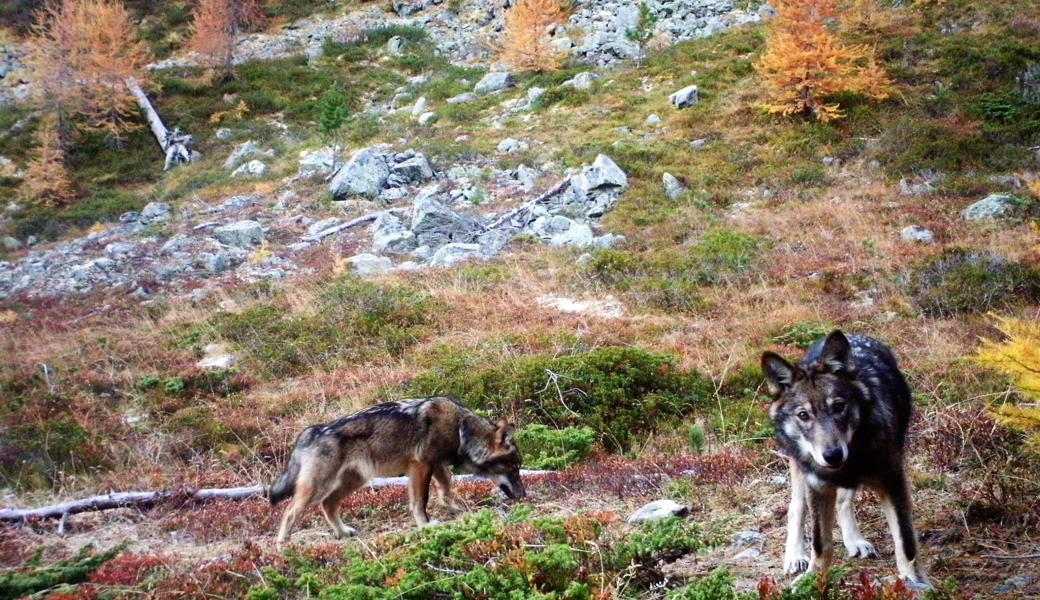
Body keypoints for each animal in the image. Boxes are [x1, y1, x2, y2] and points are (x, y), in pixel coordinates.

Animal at [270, 395, 528, 544]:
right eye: (514, 467)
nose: (524, 496)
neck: (460, 428)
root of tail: (310, 432)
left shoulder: (436, 466)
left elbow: (446, 489)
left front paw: (455, 509)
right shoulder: (421, 466)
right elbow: (421, 500)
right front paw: (425, 525)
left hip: (352, 482)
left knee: (328, 505)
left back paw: (343, 533)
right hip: (318, 487)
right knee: (290, 511)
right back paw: (283, 546)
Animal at [765, 330, 927, 582]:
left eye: (839, 406)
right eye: (803, 415)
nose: (832, 455)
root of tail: (854, 334)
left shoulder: (893, 483)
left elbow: (905, 542)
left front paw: (913, 582)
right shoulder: (818, 486)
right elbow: (820, 544)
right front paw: (812, 581)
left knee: (842, 502)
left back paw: (855, 542)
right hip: (800, 471)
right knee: (796, 508)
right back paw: (795, 556)